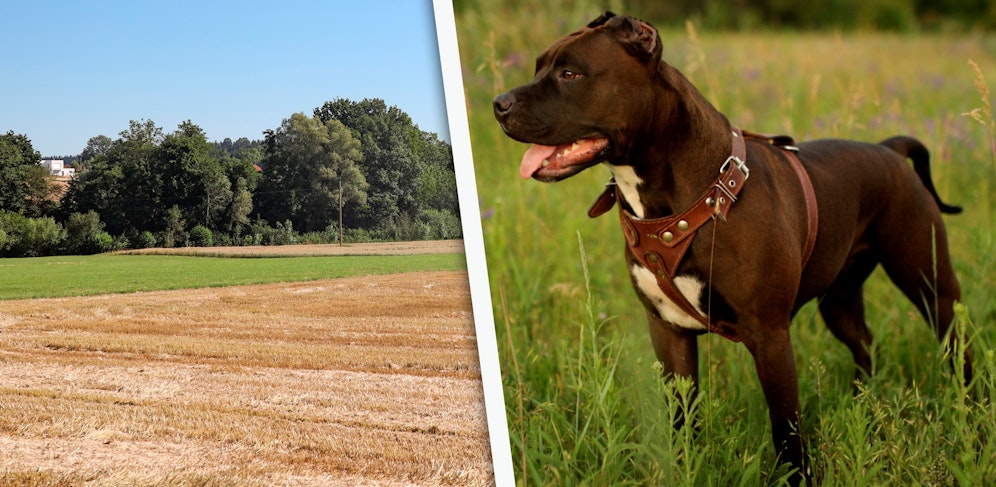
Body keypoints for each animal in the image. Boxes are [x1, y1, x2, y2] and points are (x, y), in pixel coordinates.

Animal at [494, 11, 968, 484]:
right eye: (538, 67)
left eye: (570, 73)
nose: (499, 103)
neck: (700, 197)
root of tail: (890, 149)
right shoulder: (669, 330)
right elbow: (681, 415)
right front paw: (685, 467)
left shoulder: (770, 335)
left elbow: (786, 427)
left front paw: (797, 477)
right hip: (840, 299)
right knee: (864, 343)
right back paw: (861, 405)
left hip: (930, 283)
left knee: (955, 343)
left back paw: (964, 405)